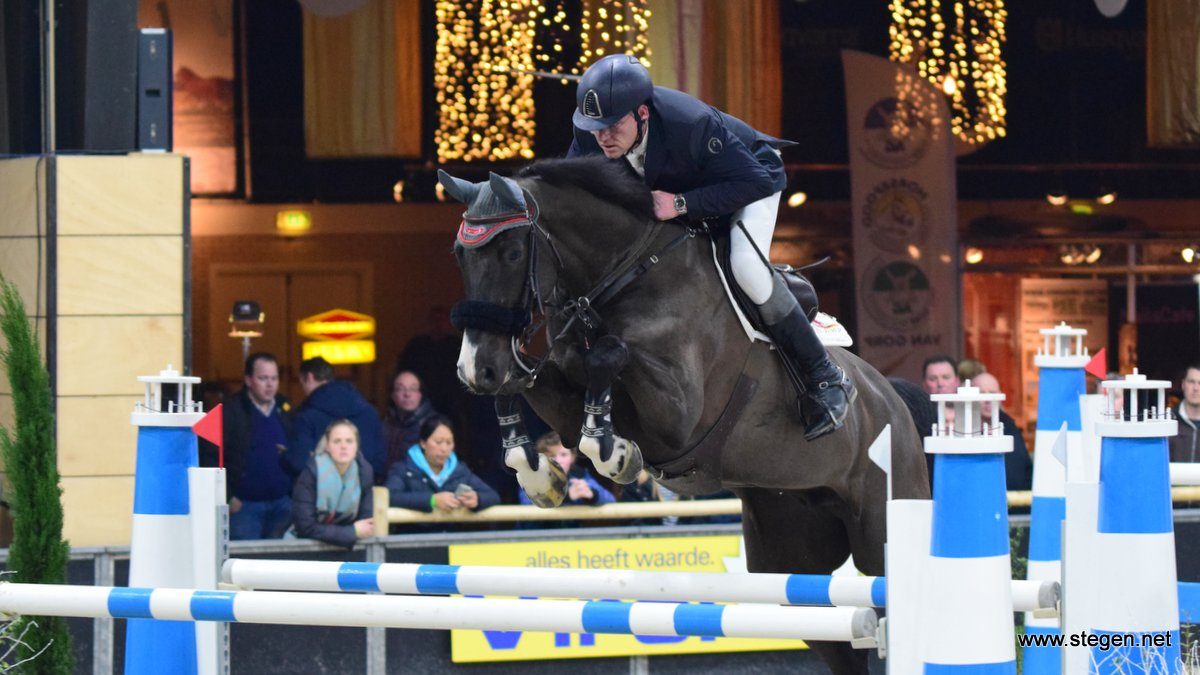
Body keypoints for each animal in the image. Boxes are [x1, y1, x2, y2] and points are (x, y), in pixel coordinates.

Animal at [439, 157, 926, 672]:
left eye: (513, 253)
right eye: (460, 255)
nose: (475, 369)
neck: (626, 274)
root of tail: (890, 395)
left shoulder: (678, 415)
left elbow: (608, 358)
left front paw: (616, 455)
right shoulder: (565, 389)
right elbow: (535, 385)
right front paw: (540, 475)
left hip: (880, 526)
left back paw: (829, 398)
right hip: (791, 553)